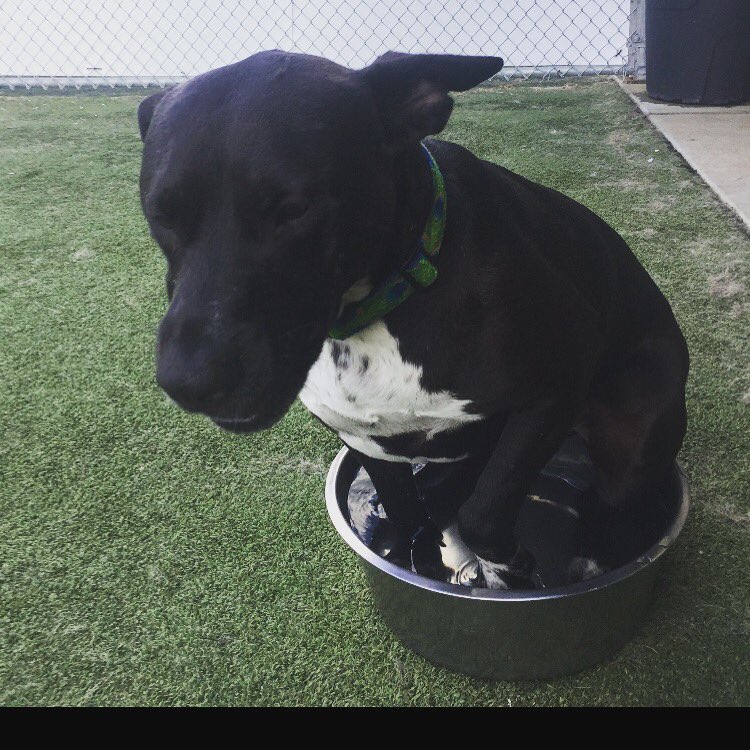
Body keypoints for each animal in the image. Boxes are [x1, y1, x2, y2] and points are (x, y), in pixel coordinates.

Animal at [138, 51, 688, 588]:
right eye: (158, 213)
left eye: (294, 208)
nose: (187, 381)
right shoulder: (369, 442)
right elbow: (408, 515)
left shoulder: (559, 383)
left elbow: (483, 513)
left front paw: (510, 566)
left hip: (630, 443)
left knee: (607, 505)